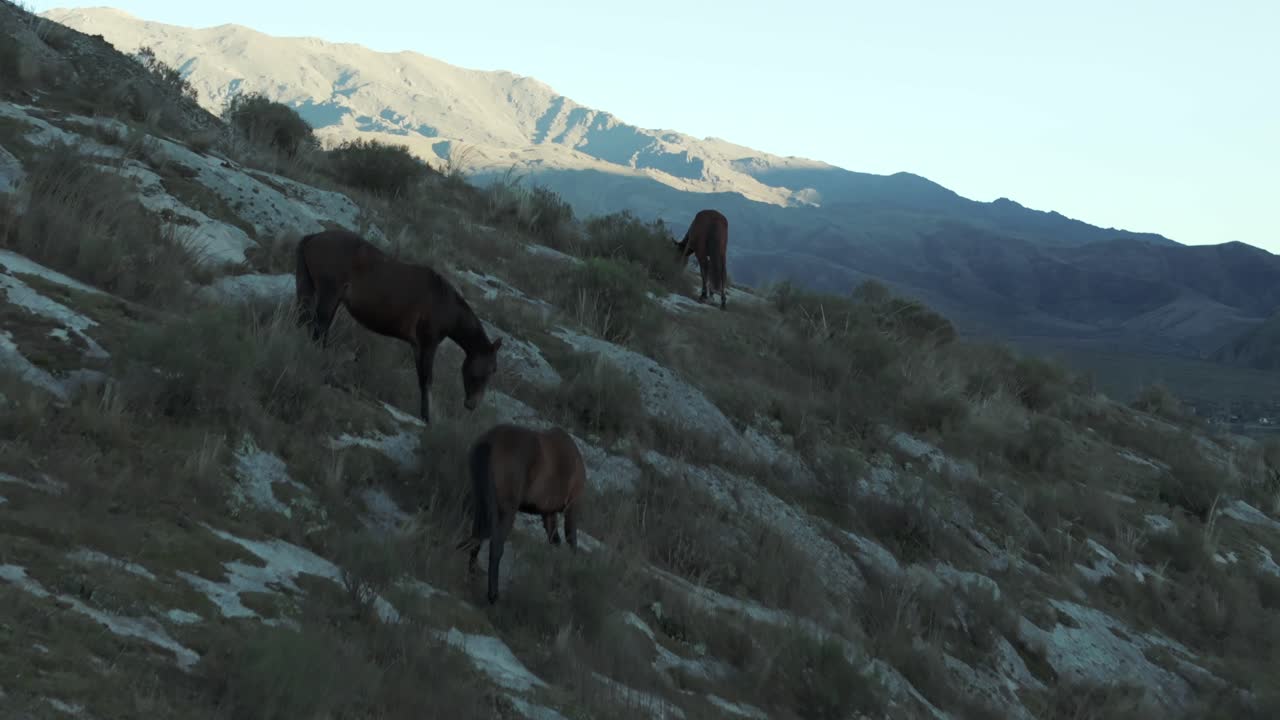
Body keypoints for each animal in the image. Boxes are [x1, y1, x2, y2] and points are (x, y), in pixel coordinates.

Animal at [294, 229, 503, 424]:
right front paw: (426, 418)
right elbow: (427, 380)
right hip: (329, 295)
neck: (445, 304)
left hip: (311, 289)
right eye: (491, 369)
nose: (472, 405)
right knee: (319, 329)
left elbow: (421, 379)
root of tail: (314, 237)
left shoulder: (417, 346)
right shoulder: (428, 343)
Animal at [454, 423, 586, 604]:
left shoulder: (548, 514)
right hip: (507, 510)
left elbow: (556, 543)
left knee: (476, 537)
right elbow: (571, 544)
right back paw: (493, 596)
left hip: (481, 501)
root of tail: (489, 441)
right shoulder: (571, 509)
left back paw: (472, 575)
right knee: (495, 545)